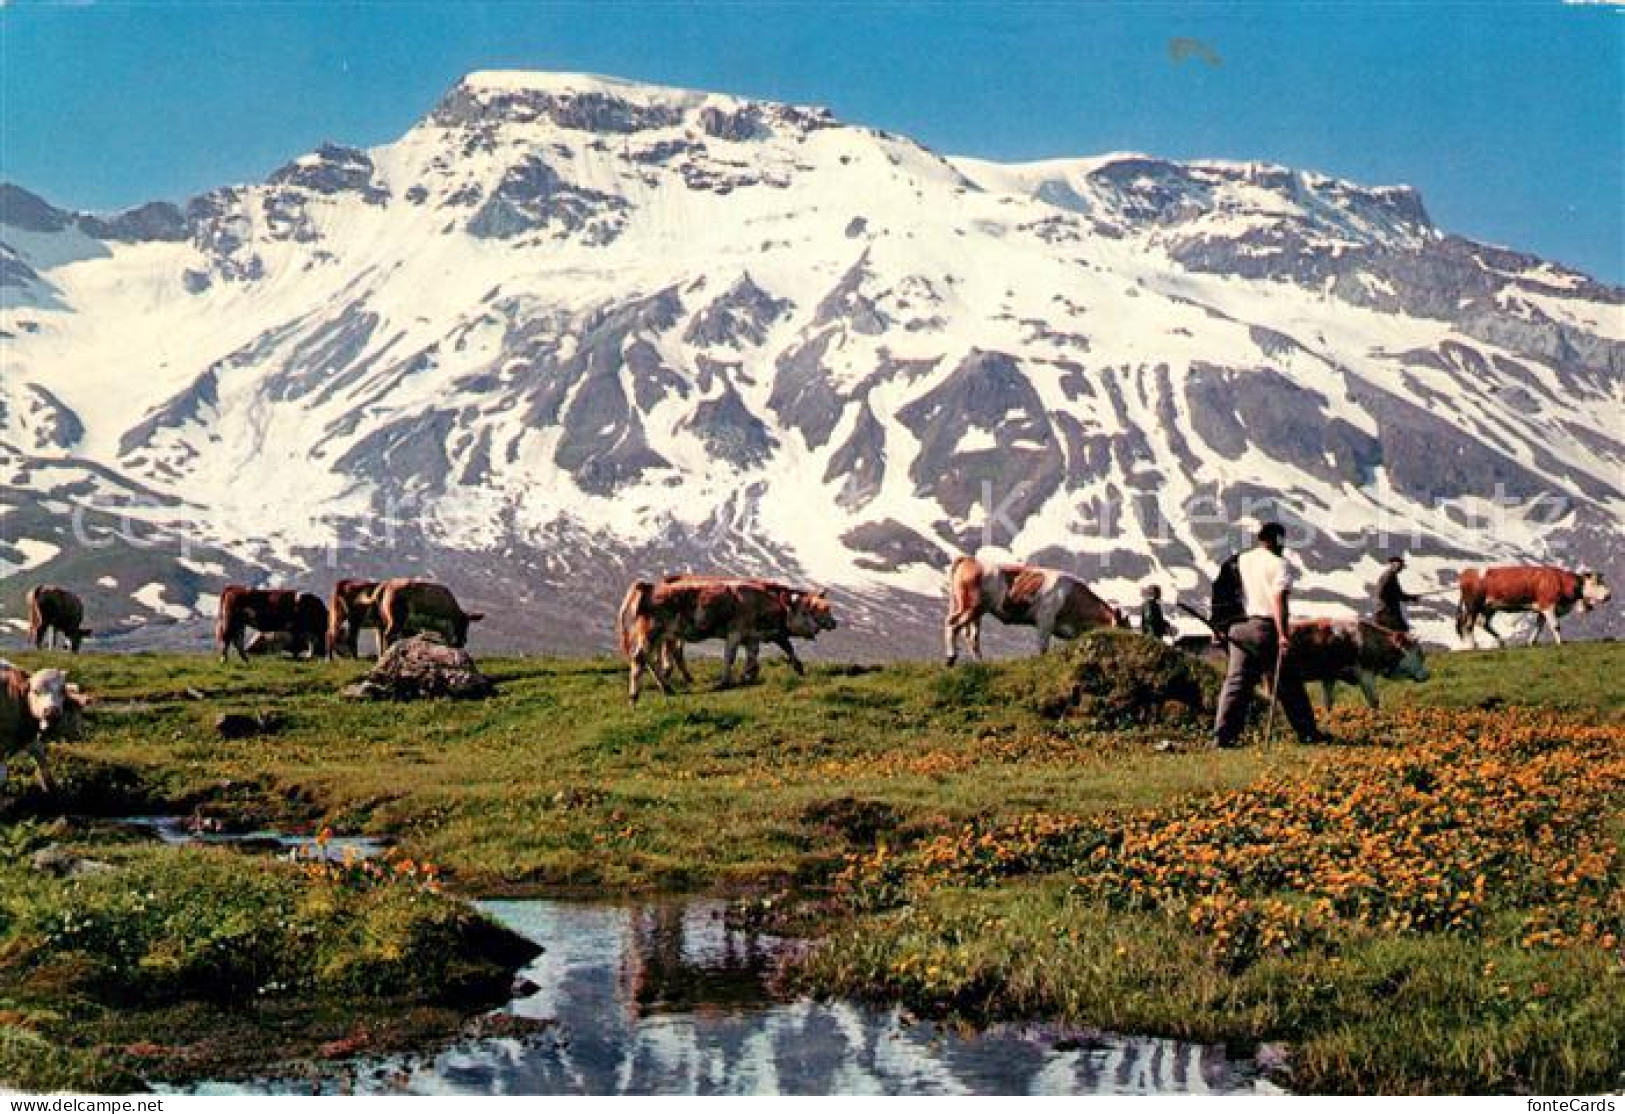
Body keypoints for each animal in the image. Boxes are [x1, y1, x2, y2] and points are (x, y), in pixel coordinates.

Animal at [0, 662, 83, 795]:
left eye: (62, 691)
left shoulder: (30, 737)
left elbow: (42, 757)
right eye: (35, 691)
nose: (52, 712)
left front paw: (51, 787)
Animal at [611, 581, 832, 701]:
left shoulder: (751, 636)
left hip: (659, 635)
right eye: (805, 611)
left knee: (650, 660)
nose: (816, 628)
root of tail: (648, 586)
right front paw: (725, 681)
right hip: (654, 632)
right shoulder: (735, 632)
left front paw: (747, 676)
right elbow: (730, 656)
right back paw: (635, 696)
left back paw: (668, 688)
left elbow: (752, 657)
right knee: (640, 658)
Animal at [942, 555, 1131, 669]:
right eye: (1122, 629)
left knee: (971, 637)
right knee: (952, 624)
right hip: (971, 606)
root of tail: (970, 559)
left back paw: (981, 664)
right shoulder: (1045, 619)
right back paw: (950, 658)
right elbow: (1043, 647)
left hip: (976, 611)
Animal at [1287, 620, 1430, 714]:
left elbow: (1328, 702)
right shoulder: (1366, 674)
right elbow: (1374, 701)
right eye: (1420, 653)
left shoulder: (1329, 677)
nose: (1427, 675)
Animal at [1462, 568, 1612, 646]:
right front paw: (1560, 642)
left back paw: (1501, 641)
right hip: (1473, 606)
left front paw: (1531, 642)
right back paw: (1473, 646)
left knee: (1483, 623)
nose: (1608, 595)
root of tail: (1468, 572)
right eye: (1596, 583)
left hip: (1489, 607)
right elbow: (1556, 626)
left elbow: (1539, 626)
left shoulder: (1542, 609)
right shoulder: (1548, 605)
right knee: (1469, 625)